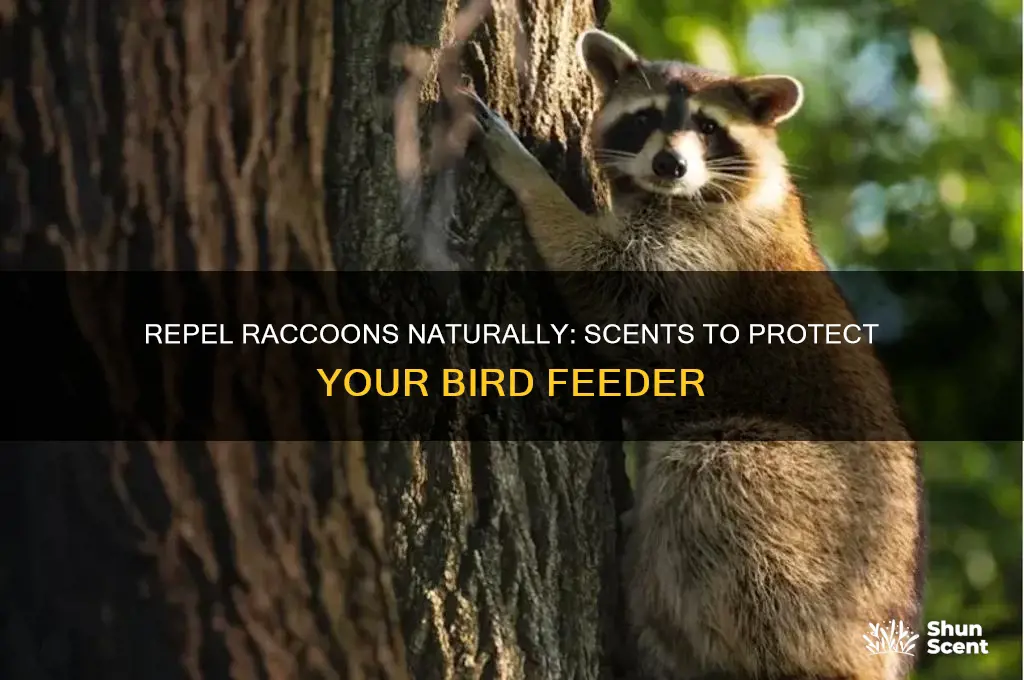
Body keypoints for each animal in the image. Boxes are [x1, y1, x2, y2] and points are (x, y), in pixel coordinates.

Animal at [455, 28, 924, 680]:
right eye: (646, 117)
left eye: (706, 127)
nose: (669, 164)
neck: (685, 193)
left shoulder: (707, 255)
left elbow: (611, 285)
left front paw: (532, 180)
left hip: (812, 521)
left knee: (711, 474)